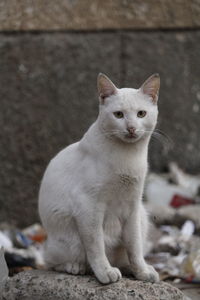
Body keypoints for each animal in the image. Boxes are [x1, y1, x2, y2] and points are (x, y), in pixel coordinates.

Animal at [38, 72, 159, 284]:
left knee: (125, 255)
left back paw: (131, 268)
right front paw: (105, 272)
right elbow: (96, 247)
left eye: (141, 114)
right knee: (52, 261)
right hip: (68, 240)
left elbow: (135, 248)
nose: (131, 128)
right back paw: (75, 267)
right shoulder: (89, 207)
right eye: (118, 115)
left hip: (143, 218)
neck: (128, 157)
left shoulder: (132, 207)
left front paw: (142, 272)